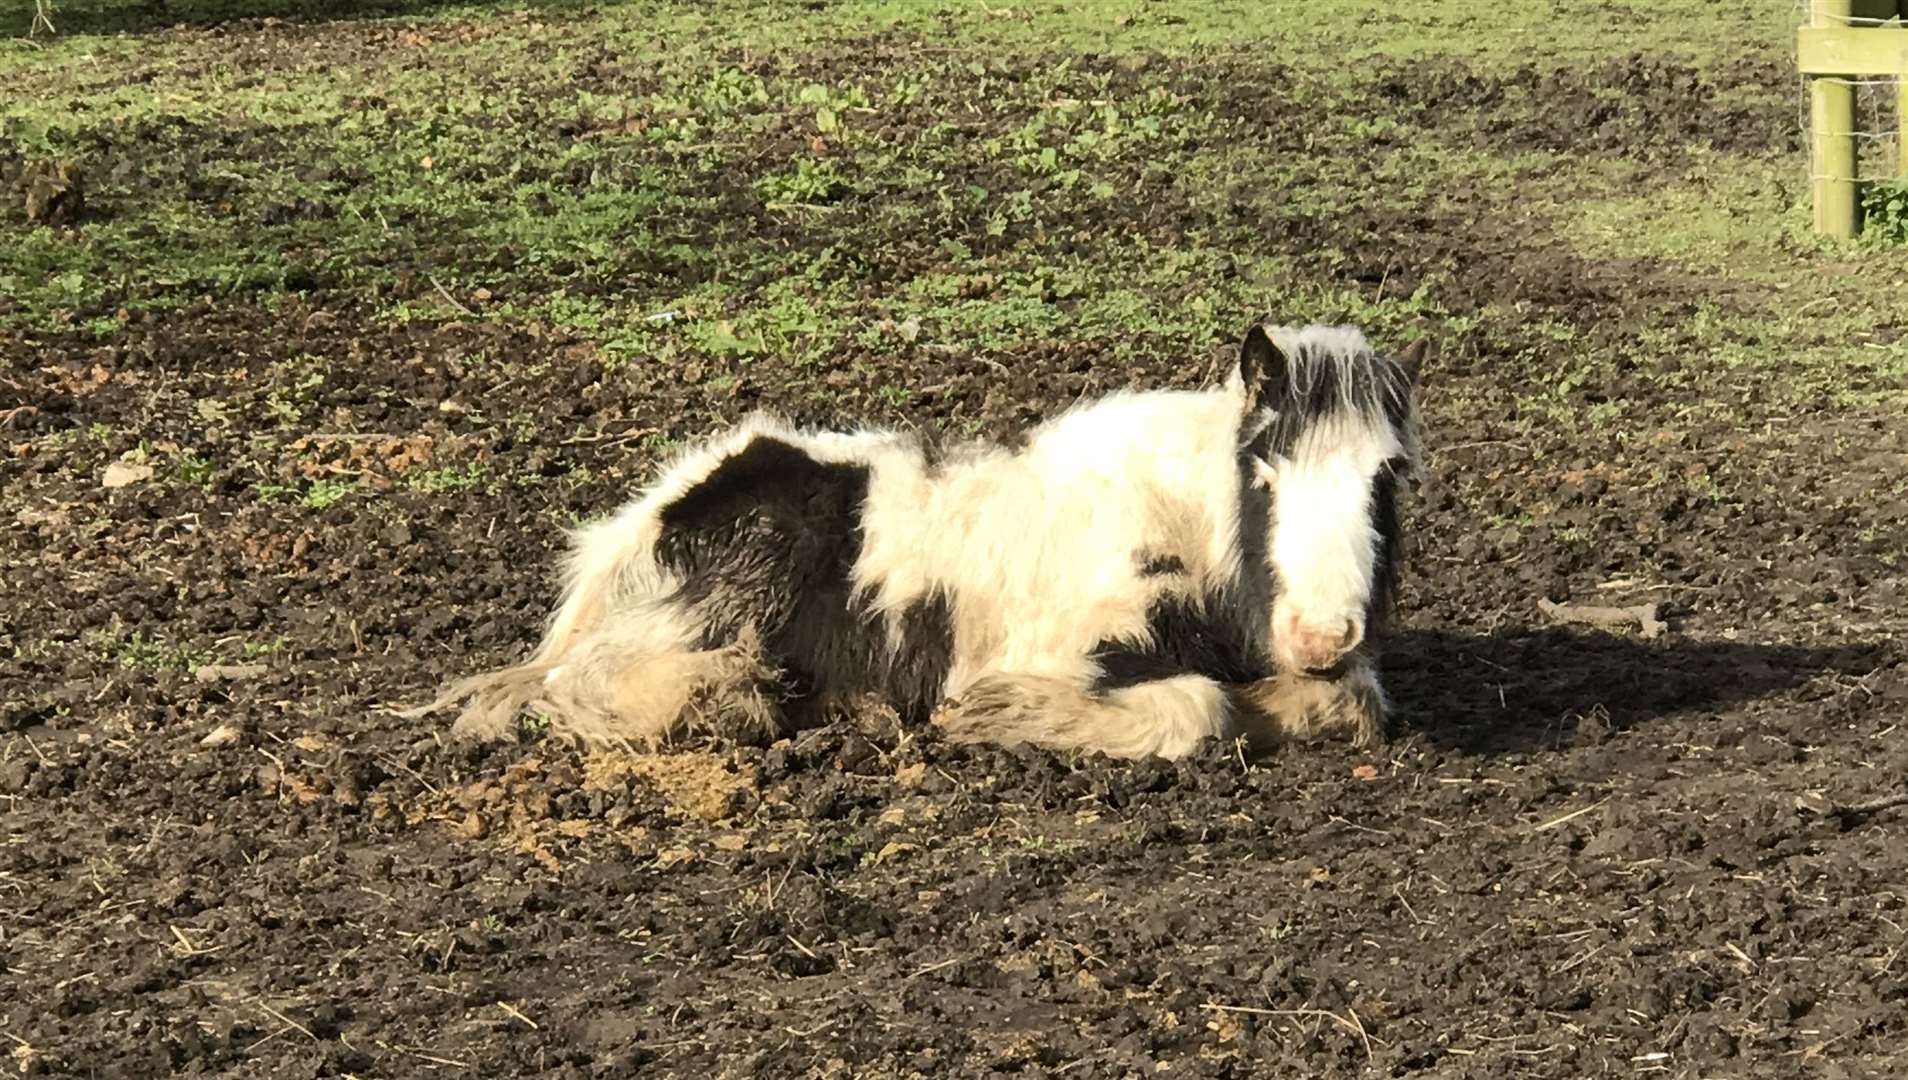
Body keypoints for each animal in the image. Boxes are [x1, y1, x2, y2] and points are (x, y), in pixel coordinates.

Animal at [402, 322, 1427, 763]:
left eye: (1387, 476)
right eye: (1265, 469)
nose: (1321, 635)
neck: (1174, 517)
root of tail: (641, 525)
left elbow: (1352, 701)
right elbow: (1196, 710)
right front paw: (990, 716)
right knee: (584, 686)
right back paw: (745, 698)